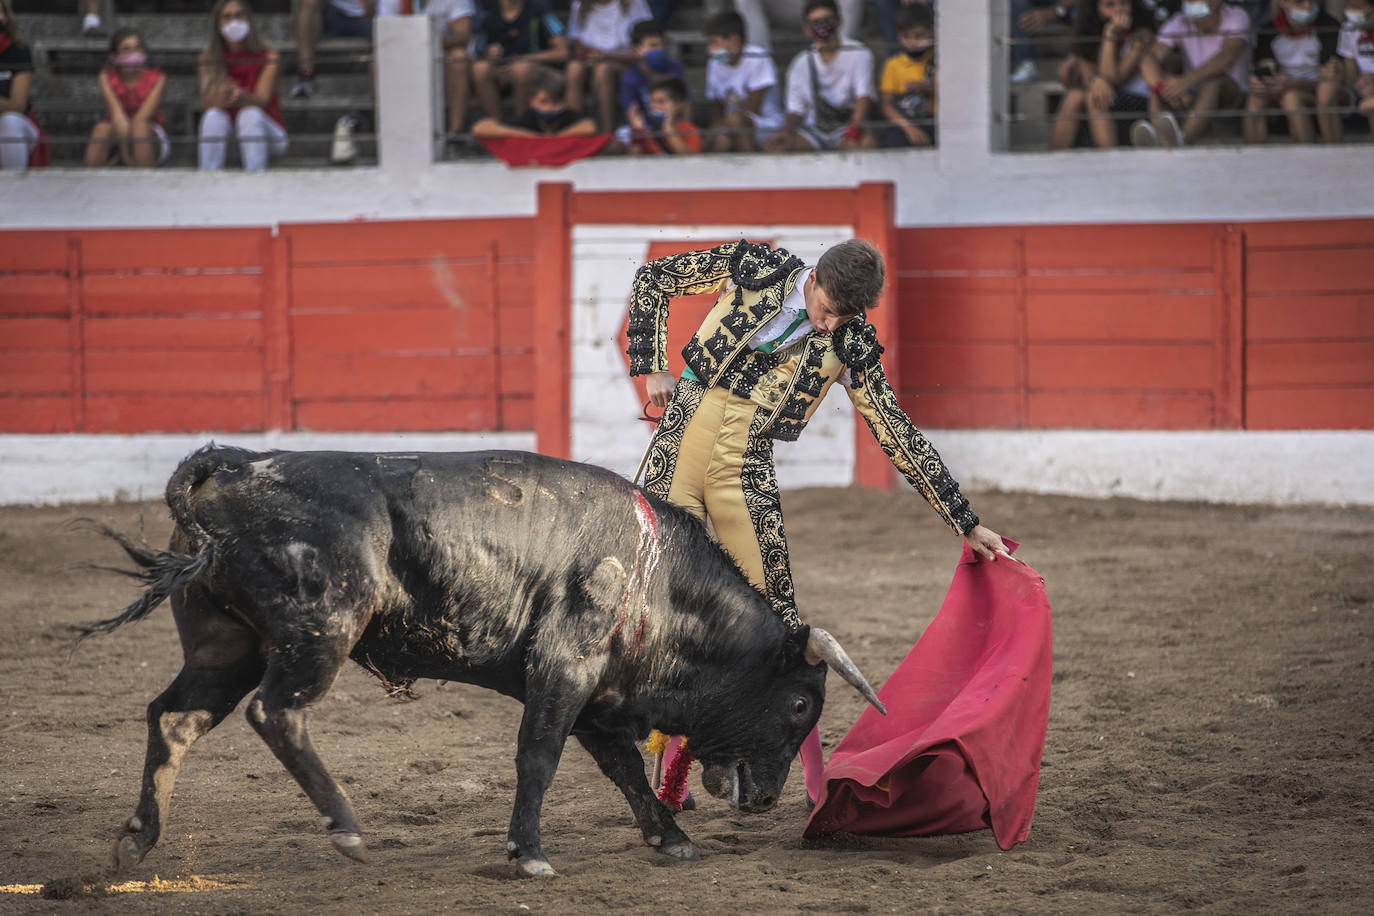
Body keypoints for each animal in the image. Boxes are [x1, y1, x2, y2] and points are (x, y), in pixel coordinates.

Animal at [75, 447, 884, 878]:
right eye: (801, 705)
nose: (768, 799)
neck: (659, 580)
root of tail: (237, 466)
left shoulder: (596, 698)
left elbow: (624, 770)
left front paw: (671, 838)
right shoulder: (564, 669)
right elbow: (539, 757)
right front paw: (529, 853)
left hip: (227, 646)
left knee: (175, 718)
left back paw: (137, 839)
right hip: (322, 629)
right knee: (276, 713)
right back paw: (346, 826)